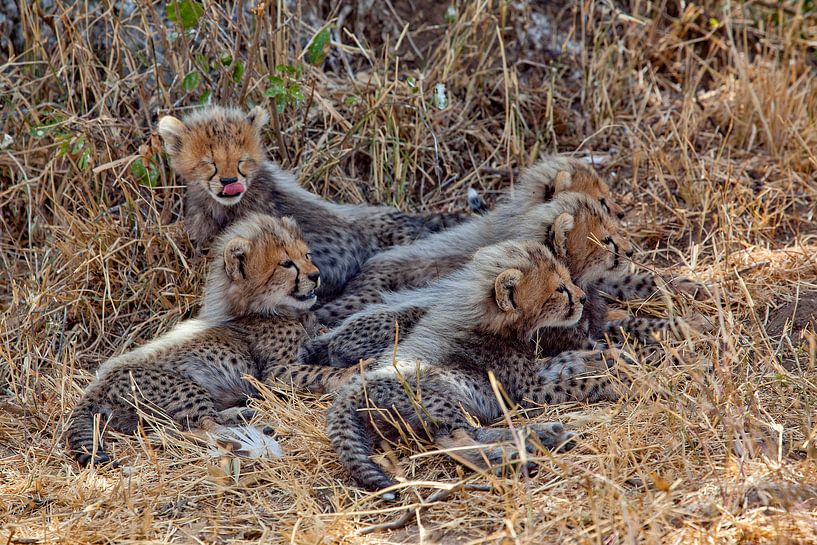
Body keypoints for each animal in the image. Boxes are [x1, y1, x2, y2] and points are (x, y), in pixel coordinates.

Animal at [65, 213, 321, 466]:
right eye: (286, 264)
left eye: (306, 255)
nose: (316, 275)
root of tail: (95, 386)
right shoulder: (276, 372)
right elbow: (319, 373)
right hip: (183, 387)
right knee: (193, 429)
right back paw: (248, 438)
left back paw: (243, 416)